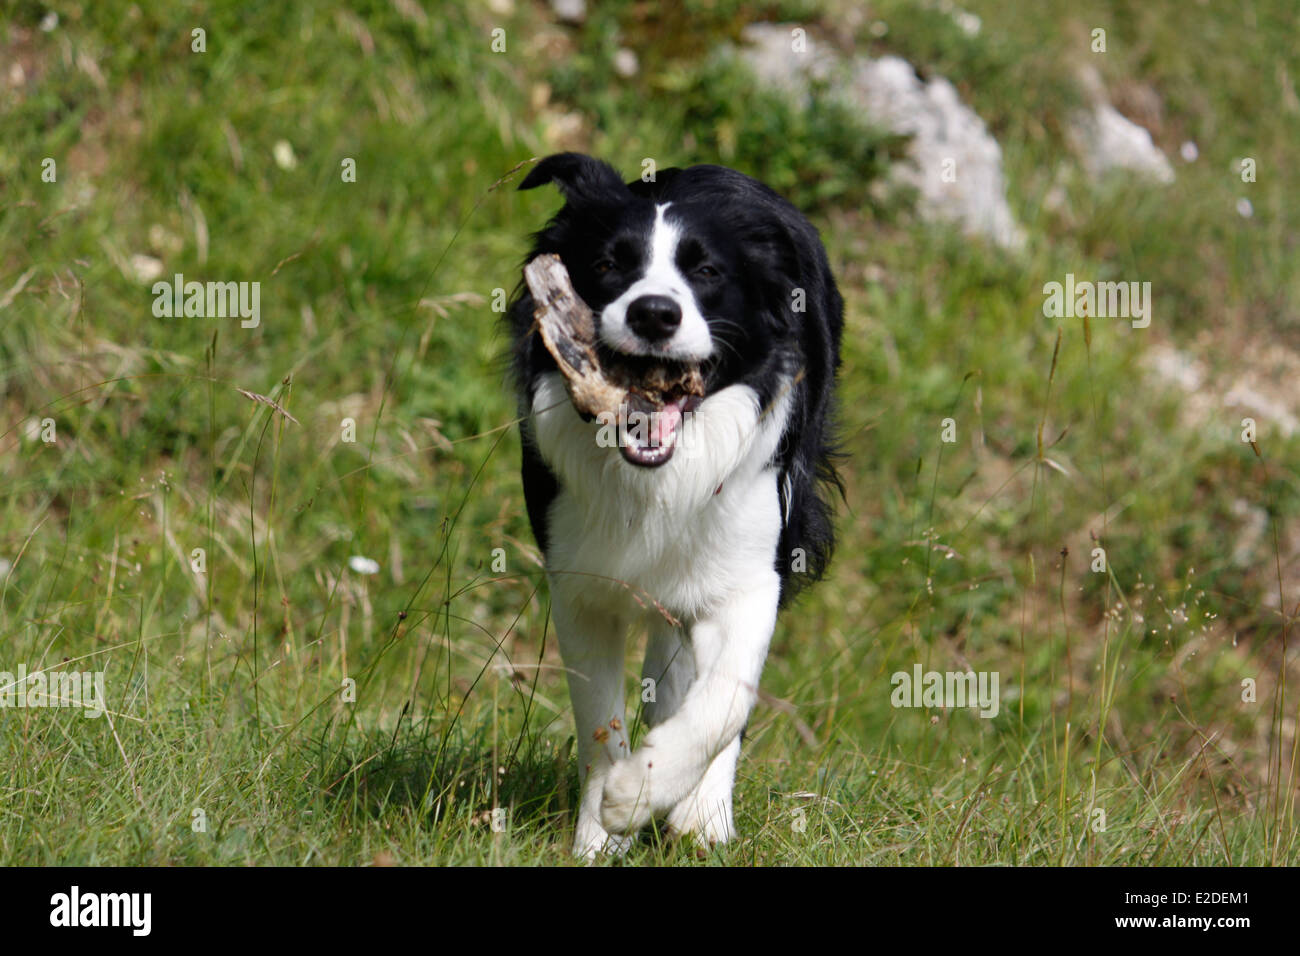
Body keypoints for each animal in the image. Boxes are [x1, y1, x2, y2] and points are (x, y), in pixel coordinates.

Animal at [506, 153, 842, 858]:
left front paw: (649, 796)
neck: (658, 480)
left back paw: (702, 812)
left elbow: (725, 700)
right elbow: (599, 719)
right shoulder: (579, 582)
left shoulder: (752, 572)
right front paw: (600, 835)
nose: (655, 313)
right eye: (608, 263)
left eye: (707, 272)